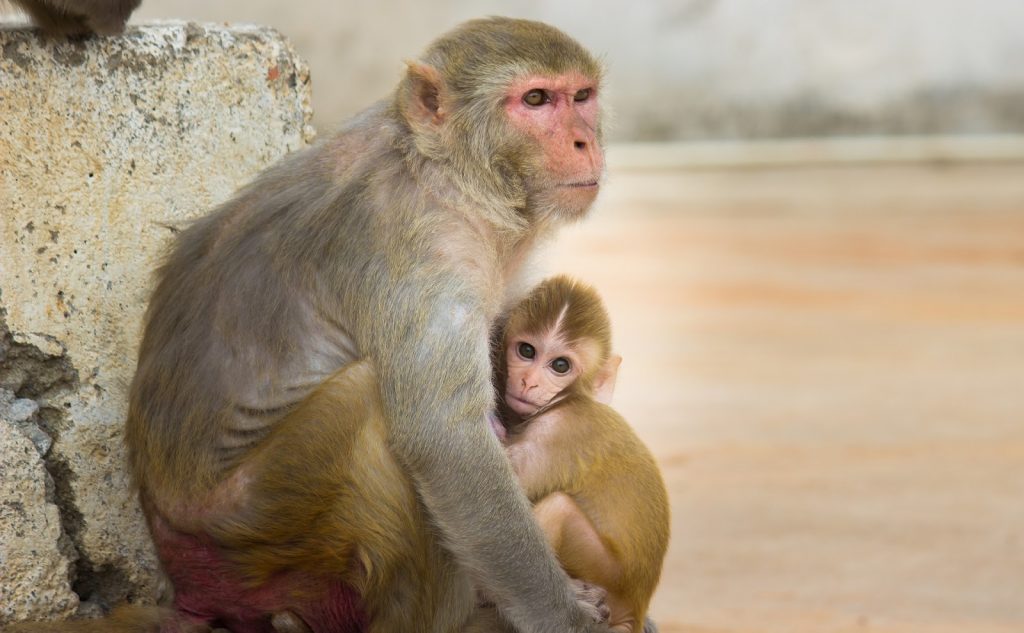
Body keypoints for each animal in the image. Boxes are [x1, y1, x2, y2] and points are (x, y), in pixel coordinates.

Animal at [107, 14, 606, 633]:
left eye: (581, 97)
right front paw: (565, 616)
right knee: (369, 401)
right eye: (535, 99)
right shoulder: (423, 253)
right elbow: (446, 442)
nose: (586, 140)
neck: (447, 173)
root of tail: (184, 575)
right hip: (256, 524)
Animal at [487, 274, 671, 630]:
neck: (568, 399)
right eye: (527, 351)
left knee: (556, 507)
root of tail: (637, 603)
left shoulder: (558, 432)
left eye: (560, 365)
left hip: (607, 574)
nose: (528, 382)